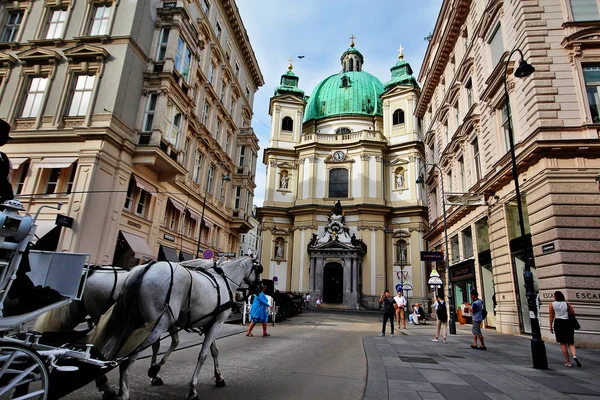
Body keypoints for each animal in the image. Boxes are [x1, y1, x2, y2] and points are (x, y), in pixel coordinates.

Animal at [96, 256, 260, 400]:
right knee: (128, 358)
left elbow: (214, 351)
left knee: (111, 351)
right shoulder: (217, 324)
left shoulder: (209, 324)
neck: (224, 280)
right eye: (259, 269)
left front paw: (219, 377)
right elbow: (203, 355)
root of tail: (146, 269)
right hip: (157, 325)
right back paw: (123, 393)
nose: (260, 287)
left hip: (133, 322)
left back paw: (106, 385)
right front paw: (192, 389)